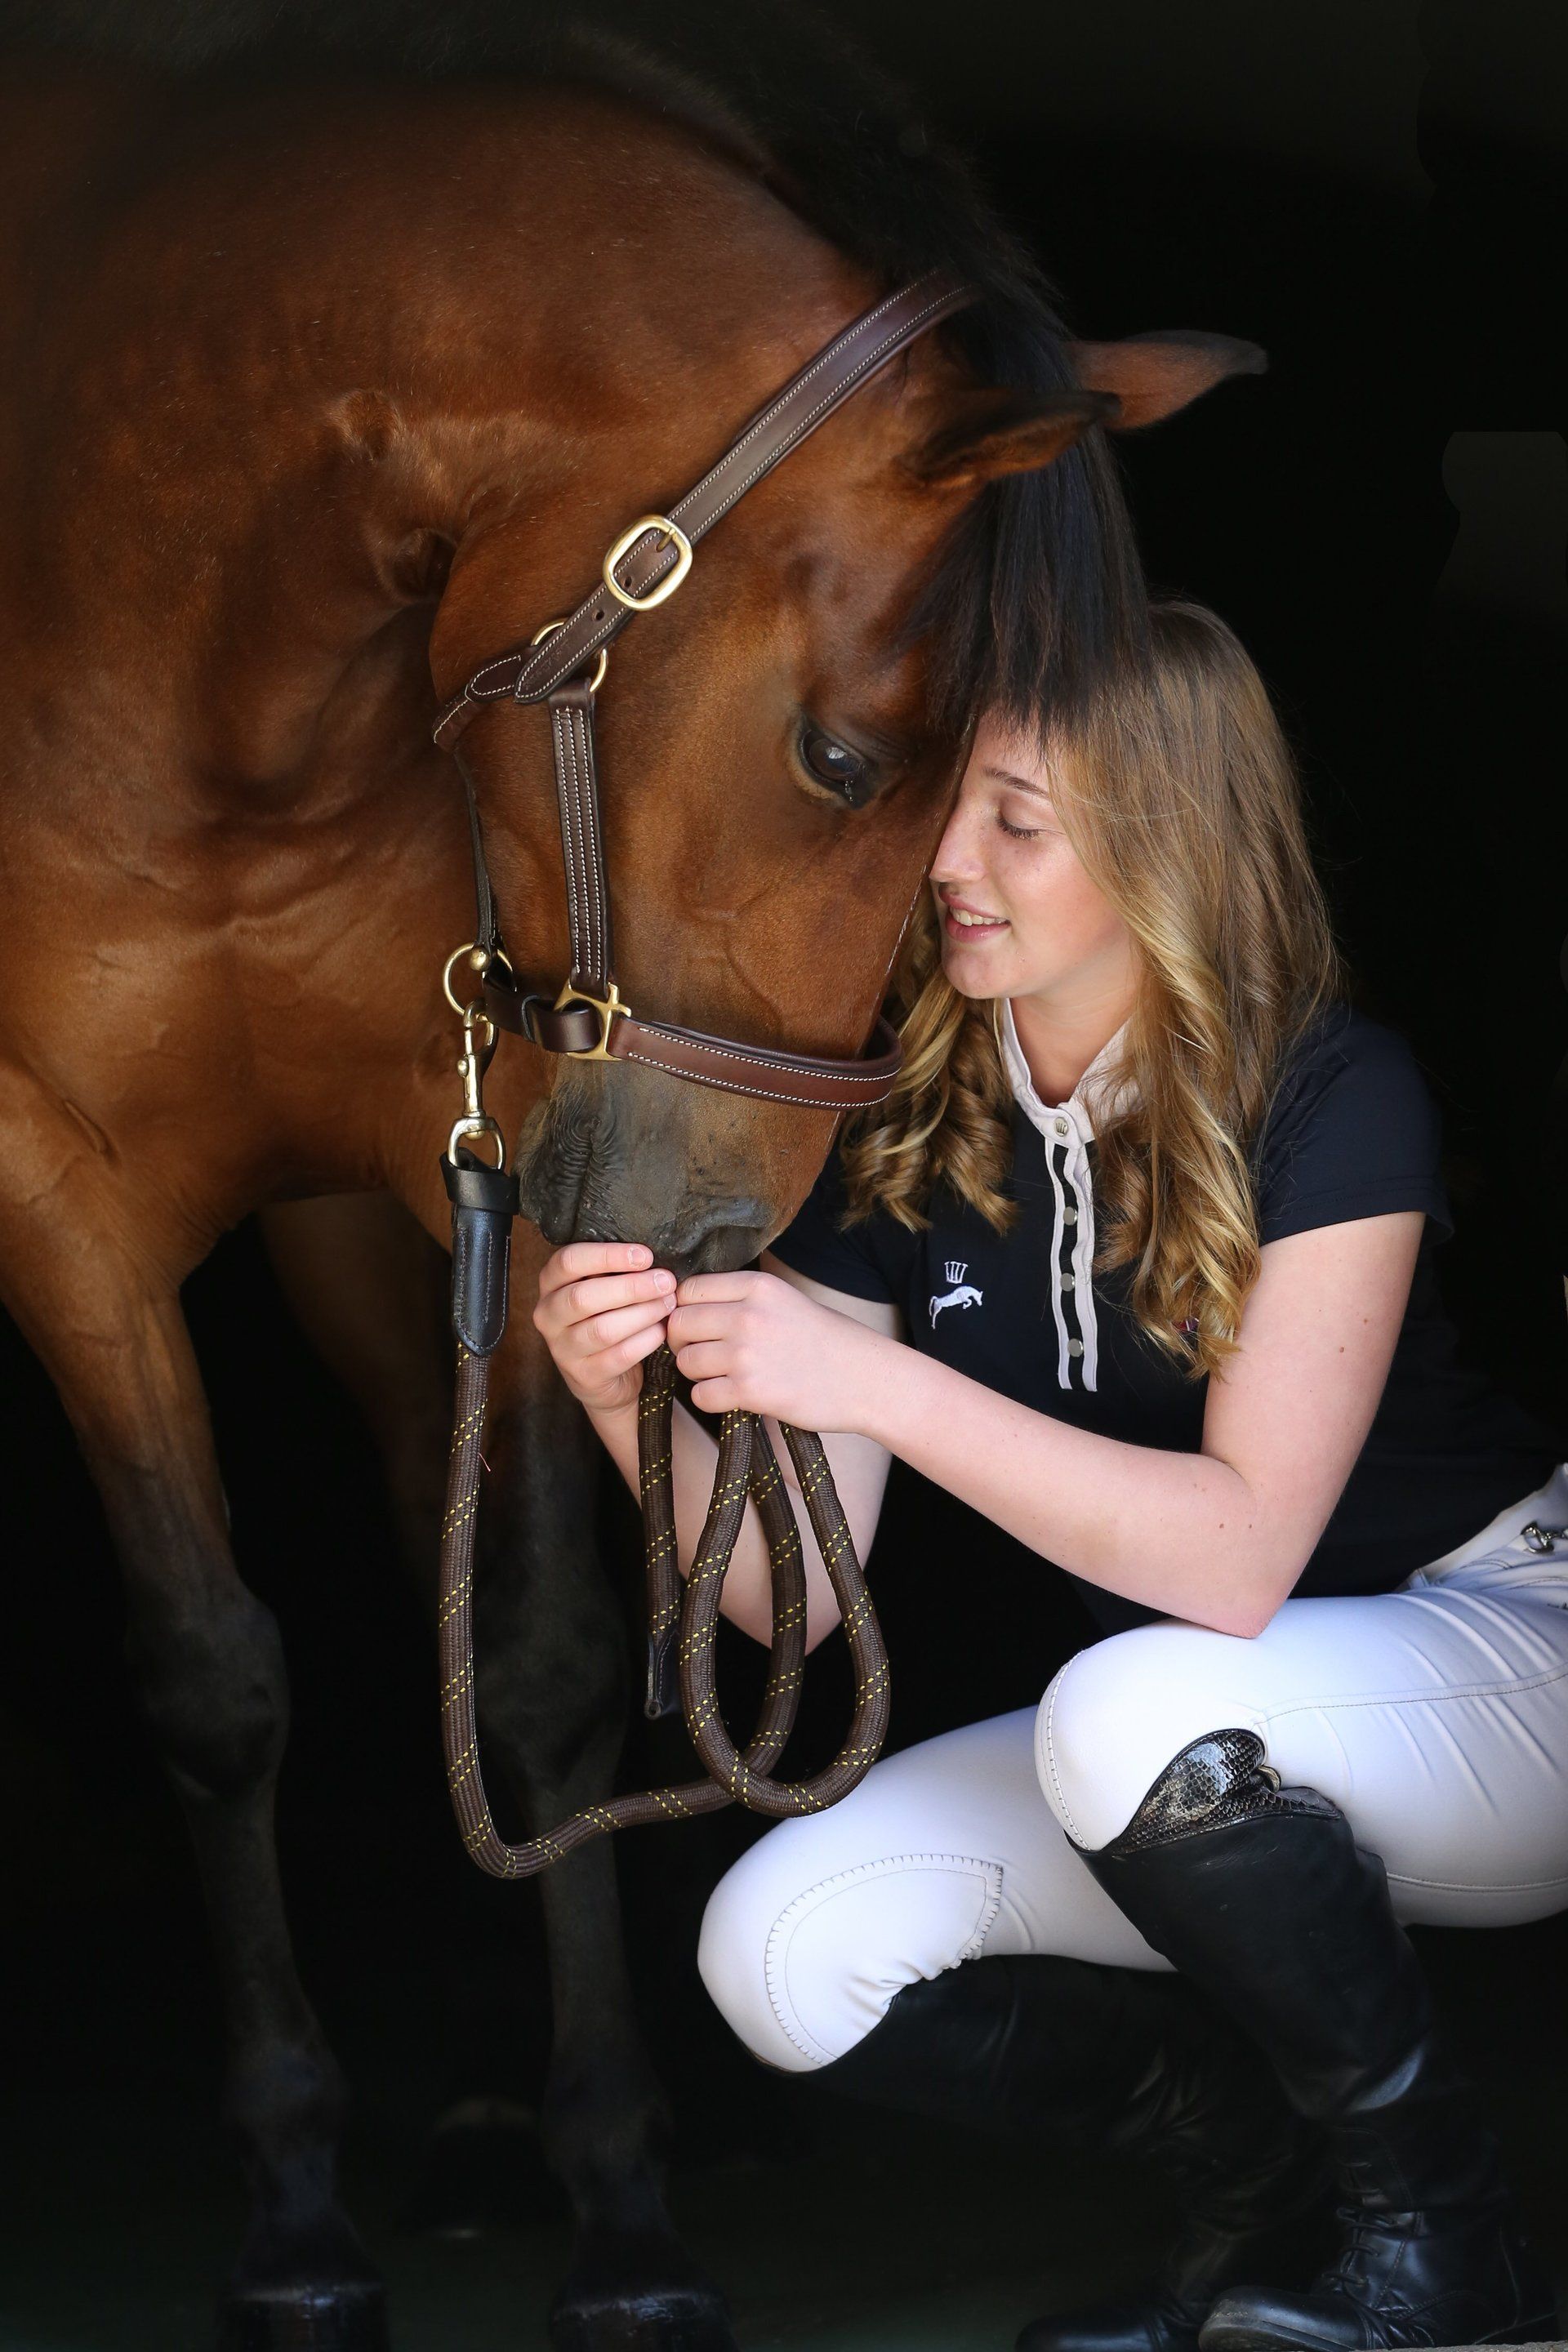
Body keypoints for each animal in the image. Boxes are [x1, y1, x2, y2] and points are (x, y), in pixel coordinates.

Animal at [0, 13, 1258, 2346]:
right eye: (847, 761)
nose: (712, 1238)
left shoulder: (465, 1141)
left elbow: (557, 1664)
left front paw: (627, 2204)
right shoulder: (61, 1194)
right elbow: (214, 1676)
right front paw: (293, 2216)